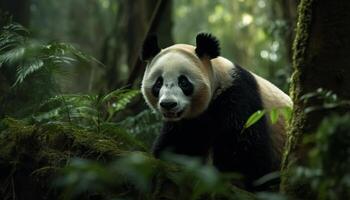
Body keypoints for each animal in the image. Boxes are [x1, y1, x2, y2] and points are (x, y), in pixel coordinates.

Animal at [140, 32, 292, 189]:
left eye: (183, 82)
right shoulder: (189, 121)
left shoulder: (239, 98)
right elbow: (180, 143)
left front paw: (230, 180)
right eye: (158, 83)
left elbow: (246, 149)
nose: (168, 104)